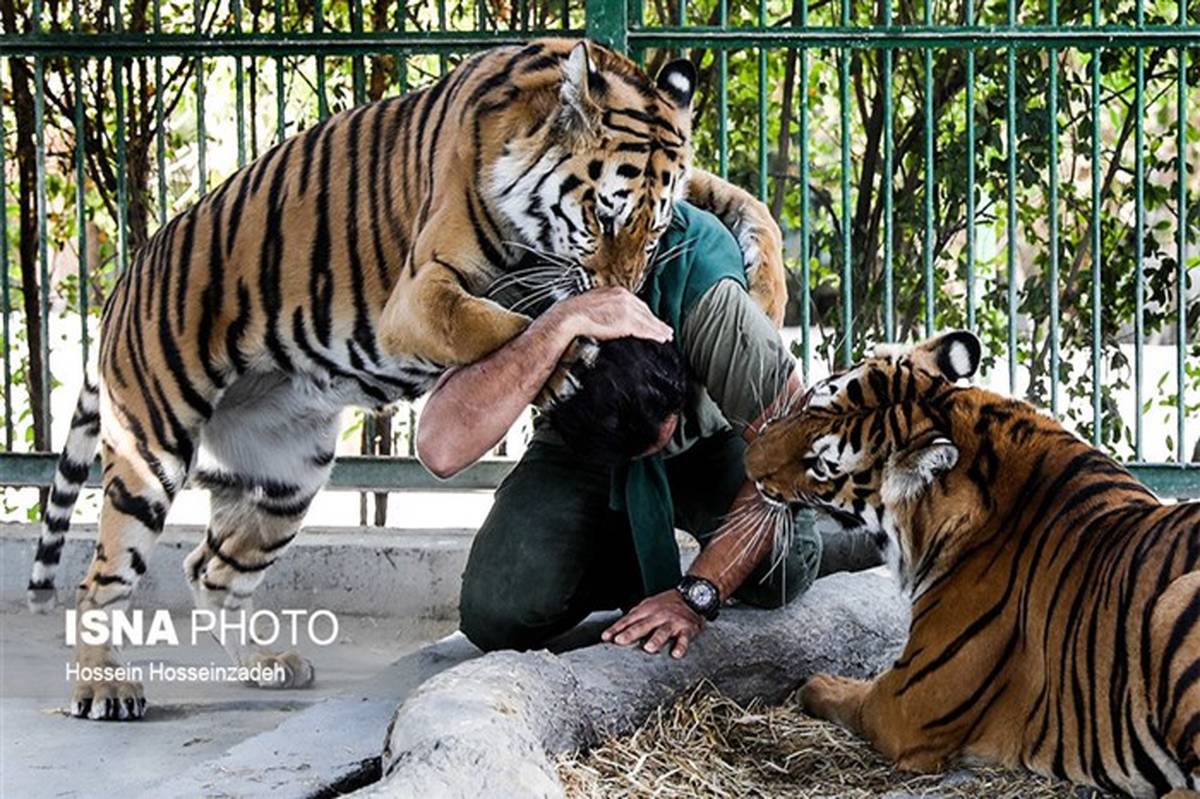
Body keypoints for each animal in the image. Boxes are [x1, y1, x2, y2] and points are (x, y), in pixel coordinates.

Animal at [25, 37, 787, 719]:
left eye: (652, 230)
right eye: (602, 216)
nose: (627, 288)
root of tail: (124, 280)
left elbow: (747, 203)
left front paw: (767, 290)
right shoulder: (418, 295)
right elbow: (501, 323)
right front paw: (573, 355)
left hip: (288, 479)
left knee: (210, 567)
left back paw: (266, 664)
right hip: (149, 451)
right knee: (100, 580)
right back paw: (103, 688)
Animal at [748, 328, 1200, 796]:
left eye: (820, 465)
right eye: (808, 400)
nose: (747, 459)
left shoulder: (905, 702)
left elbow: (847, 694)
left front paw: (814, 683)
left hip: (1173, 603)